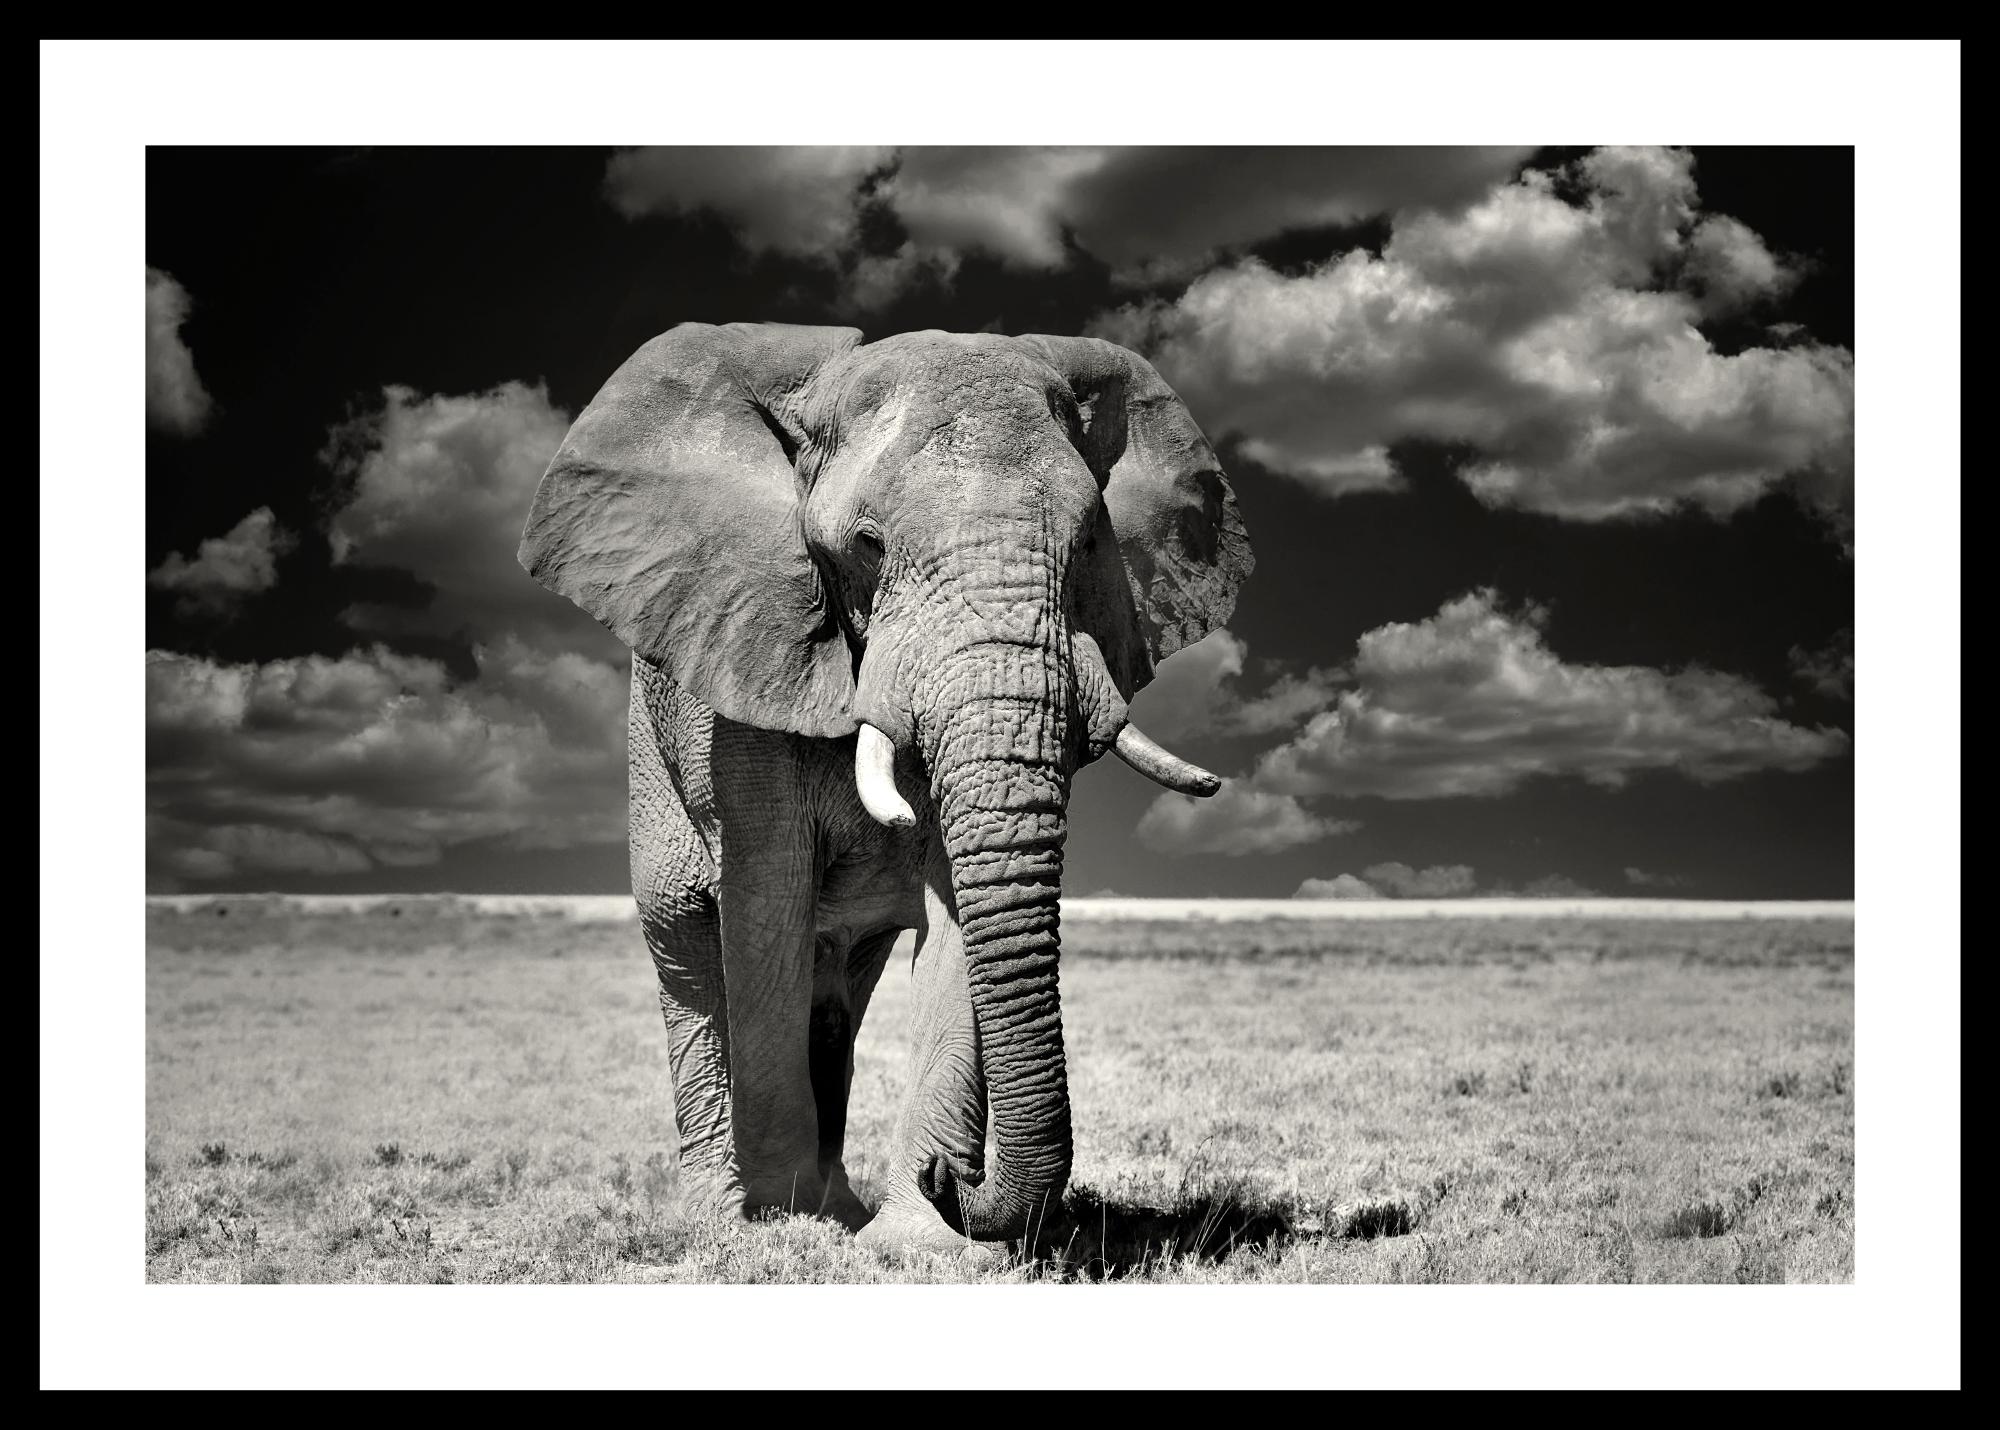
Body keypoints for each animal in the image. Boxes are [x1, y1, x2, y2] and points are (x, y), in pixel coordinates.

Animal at [512, 324, 1248, 1256]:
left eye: (1088, 542)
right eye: (867, 544)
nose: (954, 1176)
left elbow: (957, 908)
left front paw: (915, 1240)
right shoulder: (743, 665)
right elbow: (767, 904)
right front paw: (789, 1228)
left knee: (838, 994)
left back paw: (844, 1206)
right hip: (650, 751)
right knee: (688, 950)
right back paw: (726, 1213)